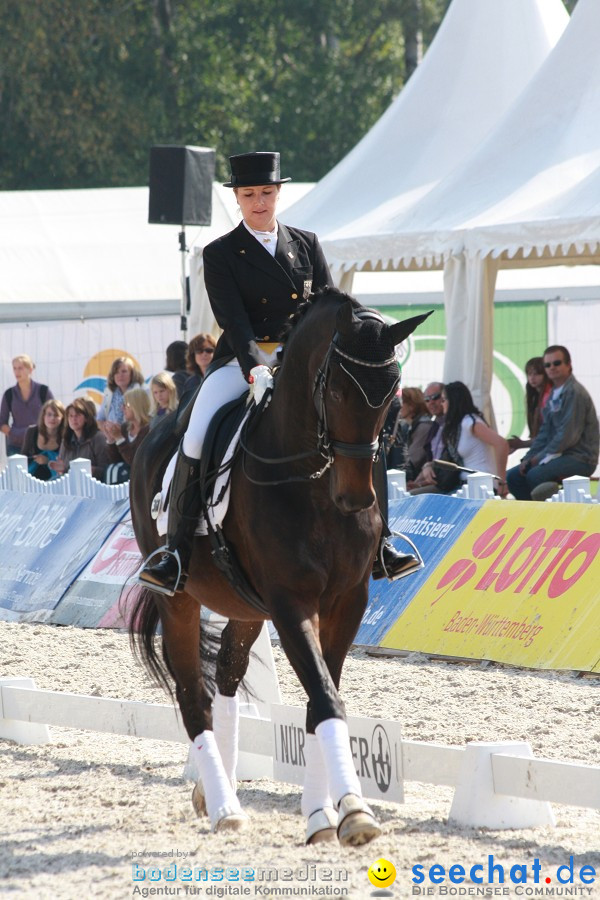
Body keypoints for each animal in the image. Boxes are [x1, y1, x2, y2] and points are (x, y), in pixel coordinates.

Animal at [129, 288, 428, 844]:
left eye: (393, 396)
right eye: (337, 391)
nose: (356, 498)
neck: (311, 481)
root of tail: (154, 433)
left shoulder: (347, 601)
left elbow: (319, 698)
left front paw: (325, 813)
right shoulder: (291, 604)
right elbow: (325, 697)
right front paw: (354, 812)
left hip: (246, 604)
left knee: (227, 673)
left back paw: (213, 790)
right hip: (179, 599)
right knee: (193, 696)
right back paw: (225, 807)